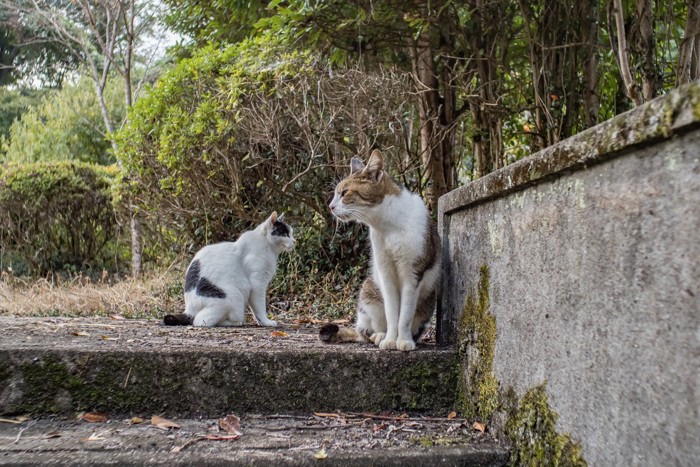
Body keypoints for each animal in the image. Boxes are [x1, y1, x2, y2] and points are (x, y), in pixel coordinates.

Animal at [164, 213, 296, 328]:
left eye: (291, 233)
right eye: (285, 234)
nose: (294, 241)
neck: (268, 246)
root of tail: (189, 309)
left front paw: (261, 322)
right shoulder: (257, 284)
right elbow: (260, 307)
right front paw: (266, 322)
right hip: (232, 296)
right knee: (200, 321)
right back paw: (237, 322)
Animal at [320, 150, 440, 352]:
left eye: (344, 193)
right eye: (336, 193)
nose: (331, 206)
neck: (387, 225)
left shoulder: (412, 272)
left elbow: (405, 315)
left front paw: (404, 340)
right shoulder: (385, 270)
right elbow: (392, 312)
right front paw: (391, 339)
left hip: (428, 302)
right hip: (369, 291)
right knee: (364, 331)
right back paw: (379, 336)